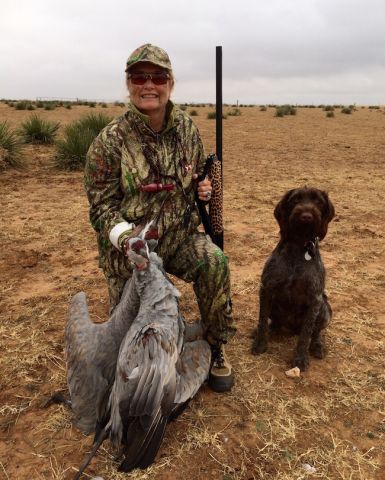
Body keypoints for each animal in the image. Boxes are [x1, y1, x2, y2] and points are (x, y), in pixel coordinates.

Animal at [252, 186, 332, 370]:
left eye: (318, 201)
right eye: (295, 199)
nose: (306, 215)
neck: (299, 247)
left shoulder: (315, 298)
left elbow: (306, 334)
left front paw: (300, 358)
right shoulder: (266, 289)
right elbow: (262, 320)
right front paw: (260, 343)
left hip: (324, 308)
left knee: (315, 332)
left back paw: (317, 346)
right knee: (275, 323)